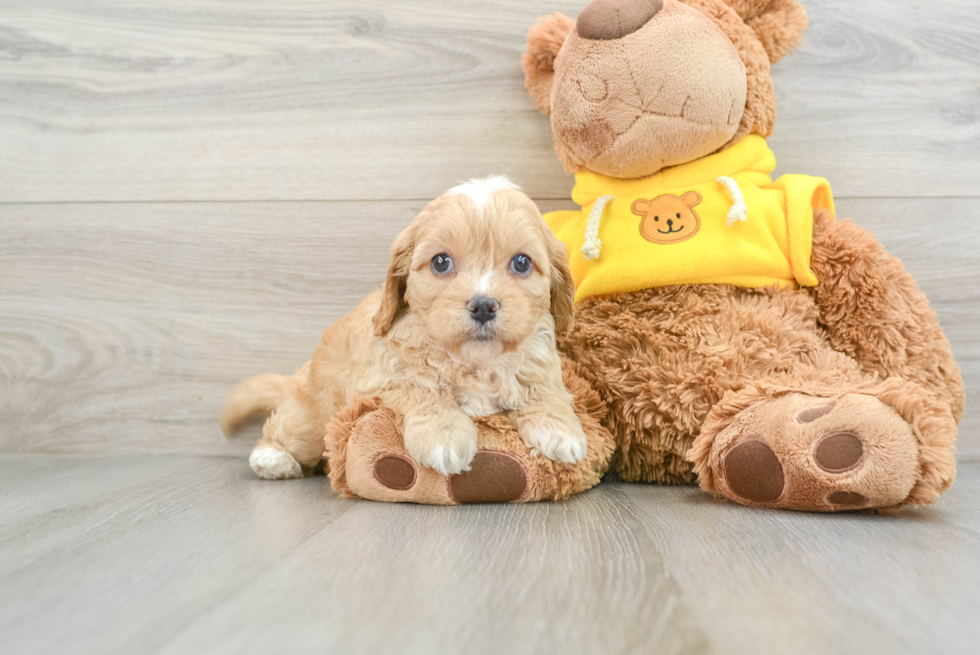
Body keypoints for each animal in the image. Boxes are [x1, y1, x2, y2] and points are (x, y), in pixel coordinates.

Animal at [224, 177, 588, 480]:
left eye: (522, 263)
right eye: (441, 262)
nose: (483, 305)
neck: (475, 361)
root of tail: (295, 378)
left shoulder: (540, 359)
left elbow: (547, 390)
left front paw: (561, 430)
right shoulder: (380, 378)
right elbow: (421, 389)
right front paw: (444, 435)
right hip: (312, 418)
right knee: (289, 432)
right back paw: (273, 460)